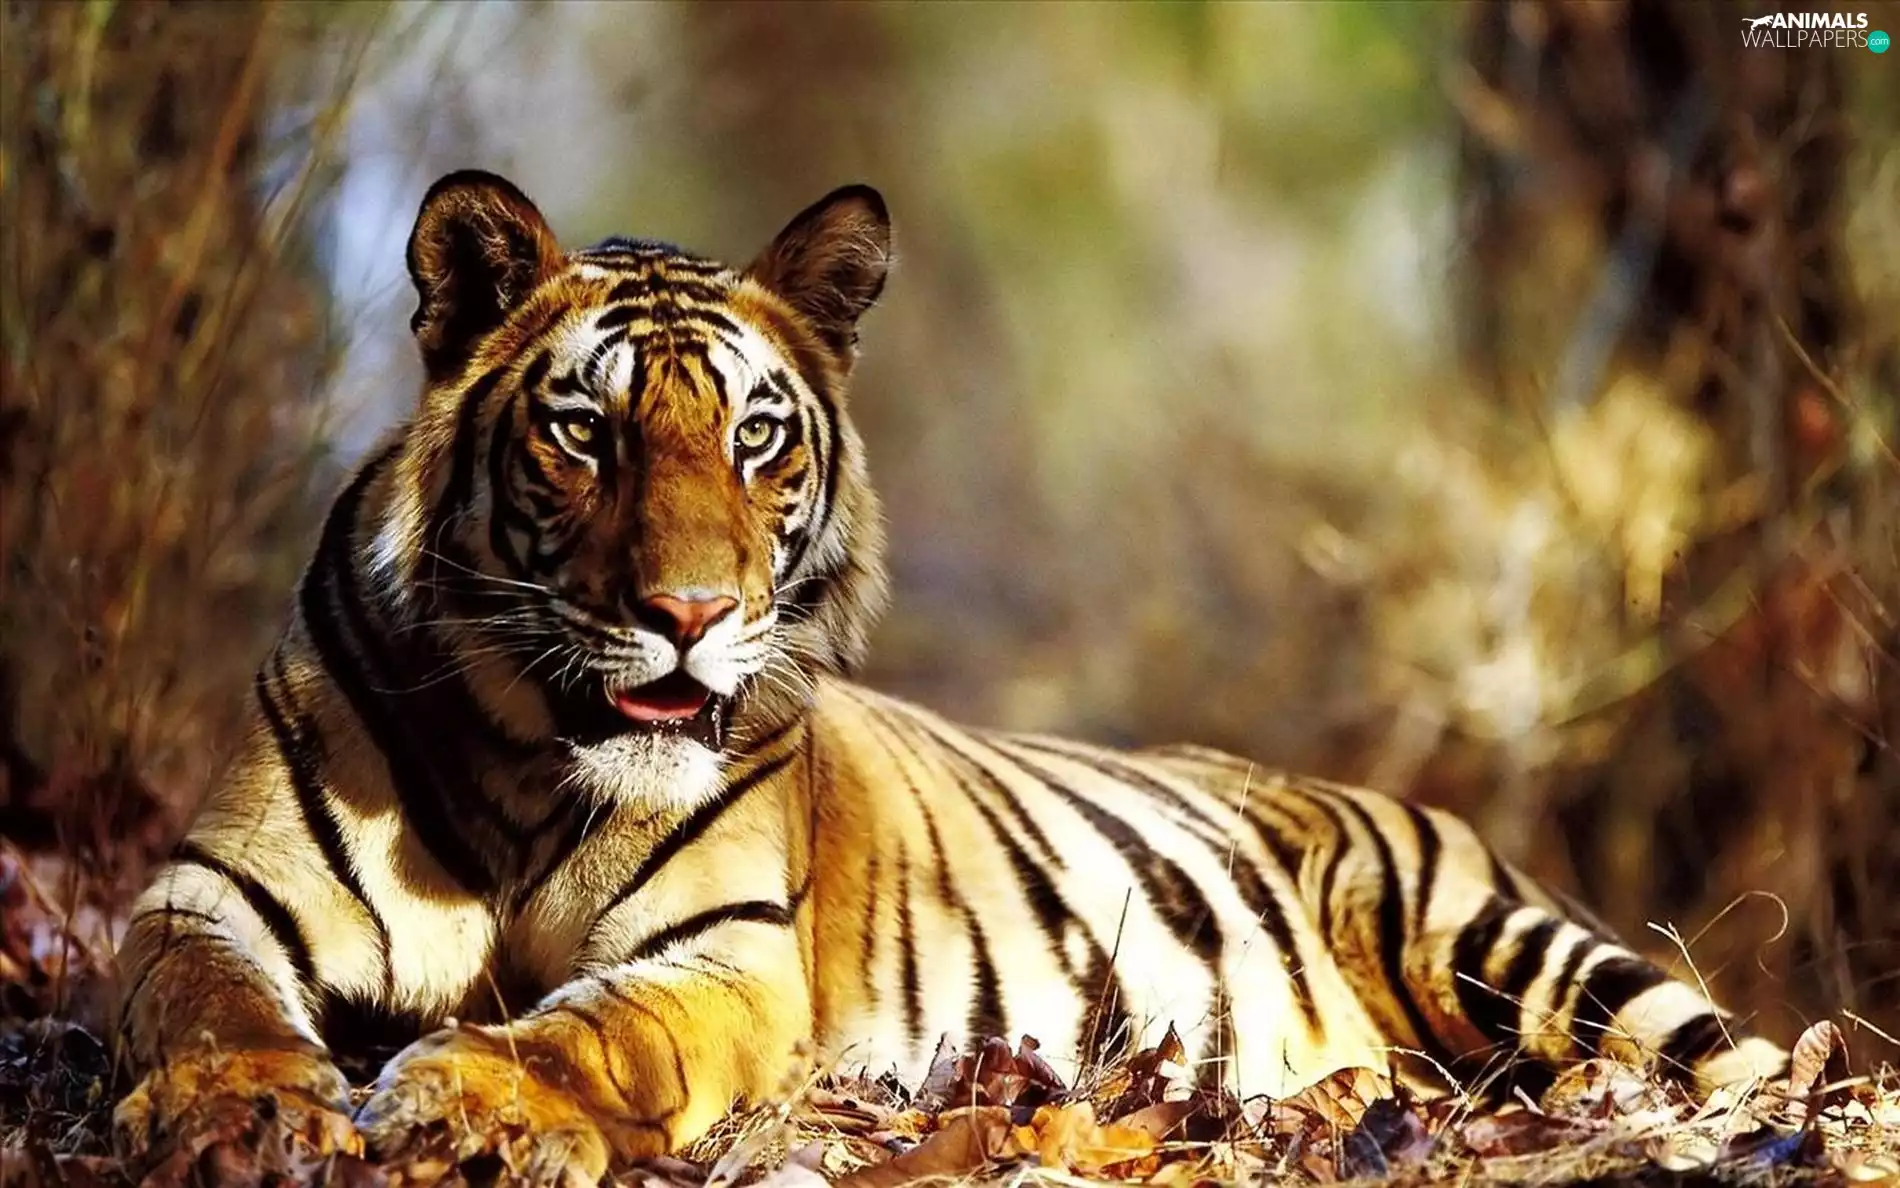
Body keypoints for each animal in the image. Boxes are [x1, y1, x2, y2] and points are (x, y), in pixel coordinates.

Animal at [114, 170, 1790, 1181]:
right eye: (584, 433)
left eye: (756, 436)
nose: (690, 613)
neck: (533, 759)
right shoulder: (206, 893)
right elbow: (203, 1003)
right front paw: (238, 1106)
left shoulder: (723, 958)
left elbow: (591, 1028)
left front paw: (459, 1094)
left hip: (1519, 951)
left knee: (1749, 1061)